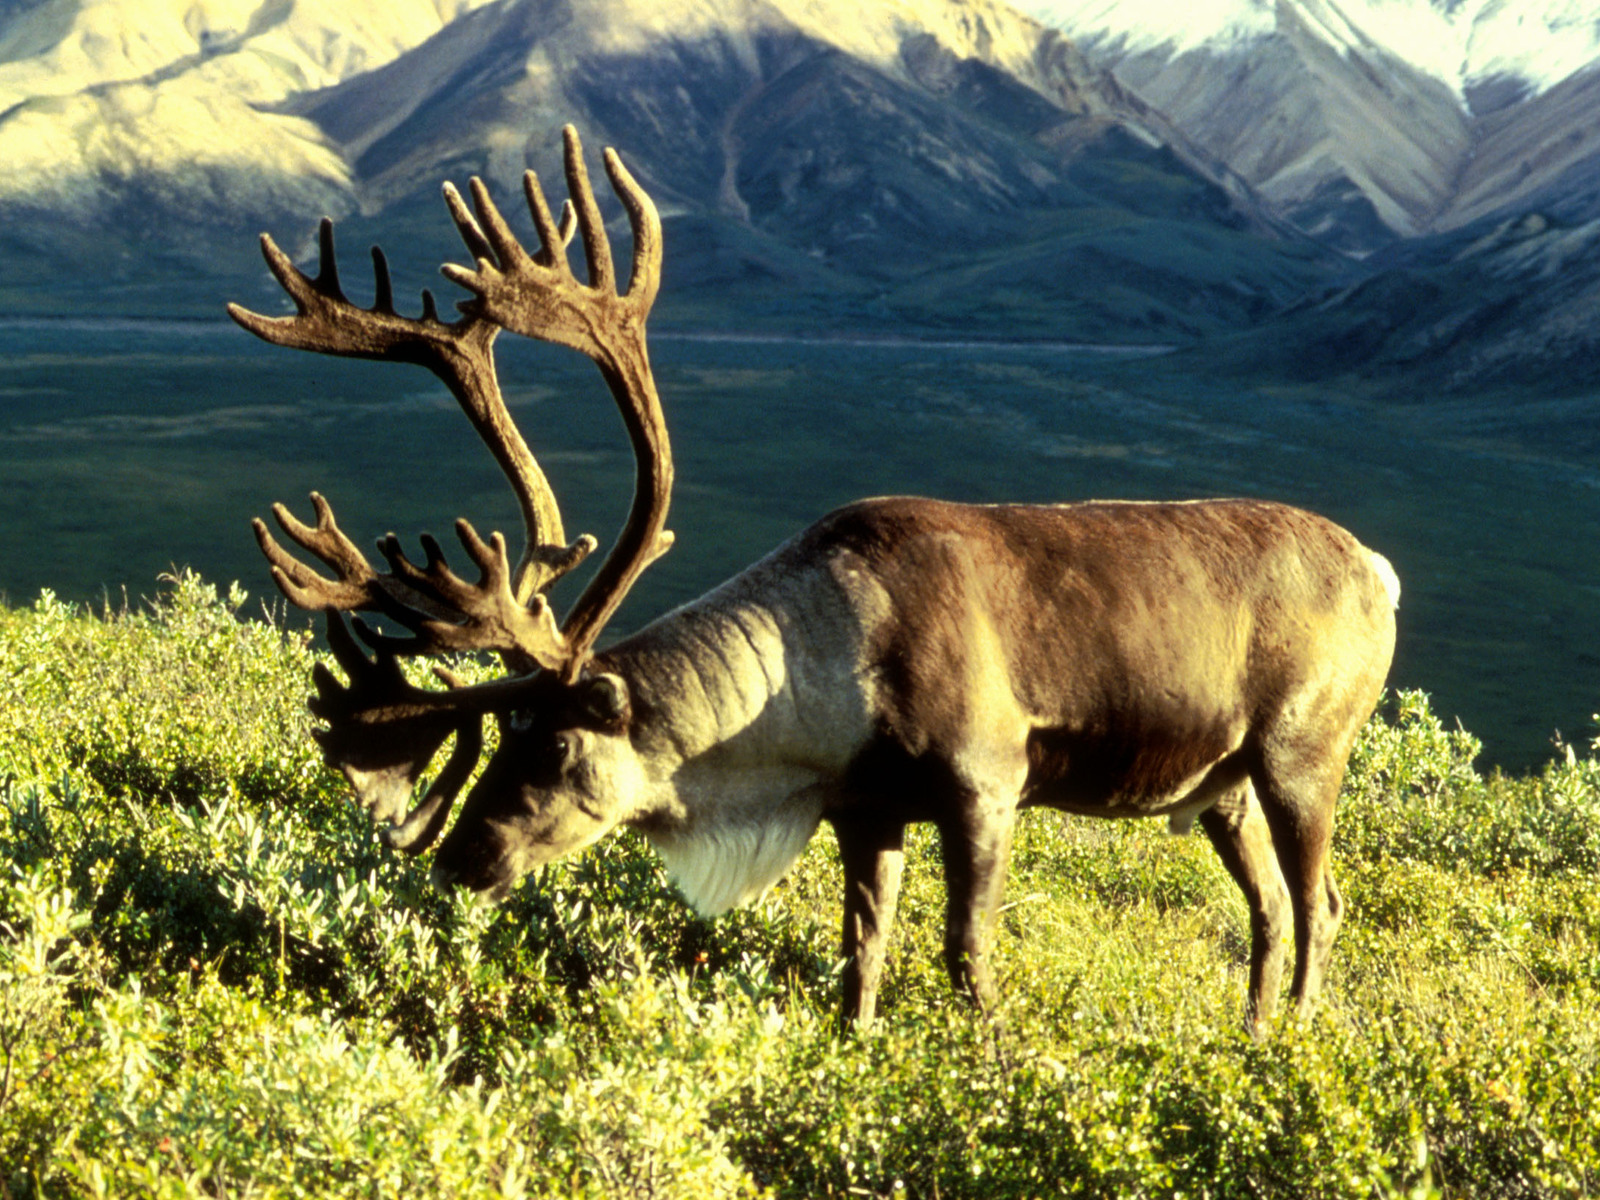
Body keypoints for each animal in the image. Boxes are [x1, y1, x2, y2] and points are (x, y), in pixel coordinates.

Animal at [229, 125, 1399, 1033]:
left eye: (556, 746)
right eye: (501, 735)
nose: (461, 859)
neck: (817, 685)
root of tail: (1380, 570)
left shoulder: (988, 780)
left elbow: (966, 958)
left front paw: (991, 1064)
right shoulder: (864, 810)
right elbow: (861, 957)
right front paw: (856, 1051)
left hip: (1301, 753)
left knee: (1321, 905)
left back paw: (1294, 1046)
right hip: (1220, 785)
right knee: (1270, 907)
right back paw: (1249, 1037)